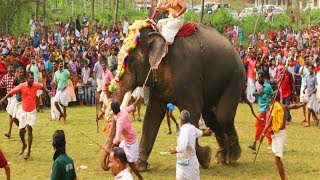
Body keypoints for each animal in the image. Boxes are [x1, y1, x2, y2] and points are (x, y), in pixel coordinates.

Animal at [100, 19, 258, 172]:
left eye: (130, 60)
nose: (108, 164)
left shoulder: (188, 76)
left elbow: (192, 112)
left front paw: (205, 157)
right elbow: (152, 115)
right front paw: (140, 167)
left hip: (234, 78)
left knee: (223, 117)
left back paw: (232, 157)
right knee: (211, 117)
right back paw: (221, 157)